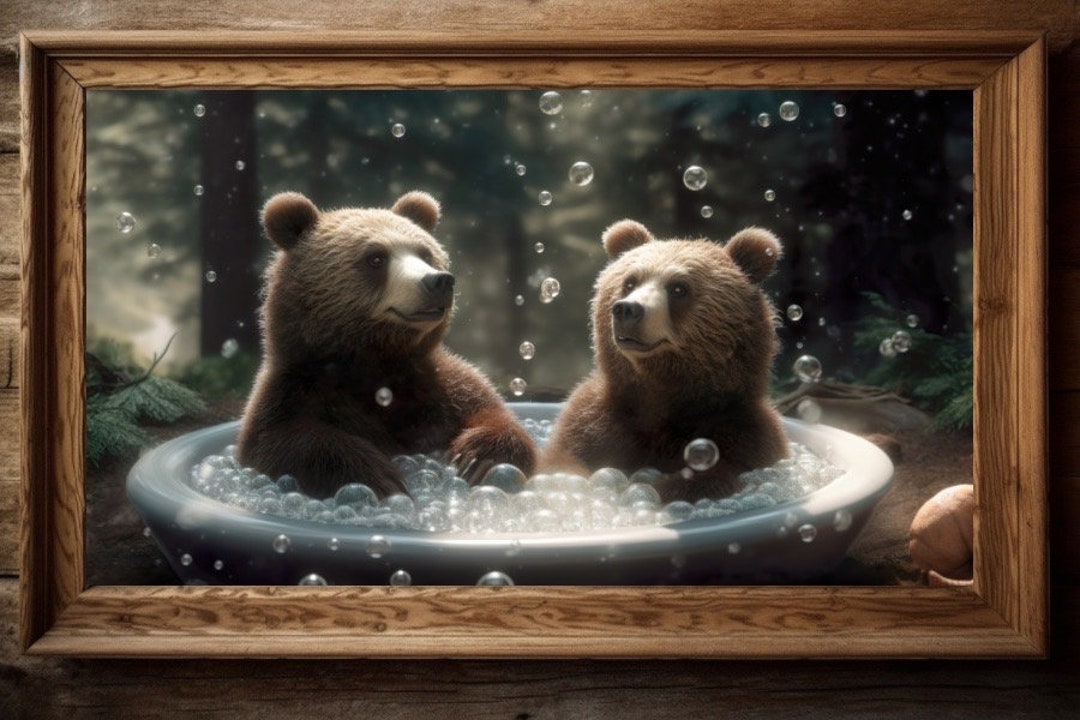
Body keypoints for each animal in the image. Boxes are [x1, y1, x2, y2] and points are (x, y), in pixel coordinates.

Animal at [236, 190, 537, 500]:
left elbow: (492, 413)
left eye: (425, 253)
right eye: (376, 258)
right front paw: (379, 476)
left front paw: (476, 459)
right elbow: (282, 440)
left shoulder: (440, 387)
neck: (378, 358)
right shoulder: (297, 392)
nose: (438, 281)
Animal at [542, 219, 788, 503]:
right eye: (630, 281)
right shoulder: (596, 420)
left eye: (678, 288)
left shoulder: (740, 433)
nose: (627, 309)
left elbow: (712, 477)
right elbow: (565, 456)